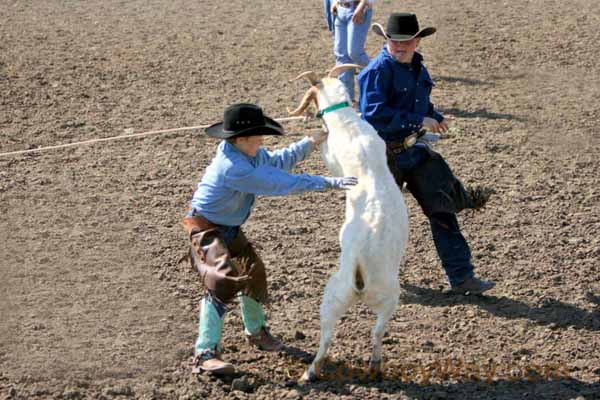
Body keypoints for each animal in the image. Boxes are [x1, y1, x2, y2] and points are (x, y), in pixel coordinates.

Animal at [288, 65, 410, 382]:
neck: (347, 123)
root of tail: (359, 273)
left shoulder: (333, 160)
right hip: (388, 299)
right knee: (376, 332)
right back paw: (374, 367)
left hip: (332, 296)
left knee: (328, 337)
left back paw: (311, 372)